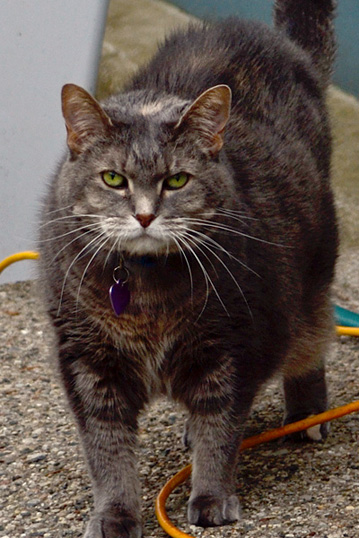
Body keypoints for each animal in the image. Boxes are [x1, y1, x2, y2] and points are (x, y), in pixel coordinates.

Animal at [38, 2, 338, 532]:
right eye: (112, 178)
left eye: (177, 180)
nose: (144, 215)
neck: (144, 290)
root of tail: (279, 42)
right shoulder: (88, 361)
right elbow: (106, 448)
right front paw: (115, 513)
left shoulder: (231, 345)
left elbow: (220, 427)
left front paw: (211, 497)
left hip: (311, 284)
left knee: (310, 343)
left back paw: (305, 417)